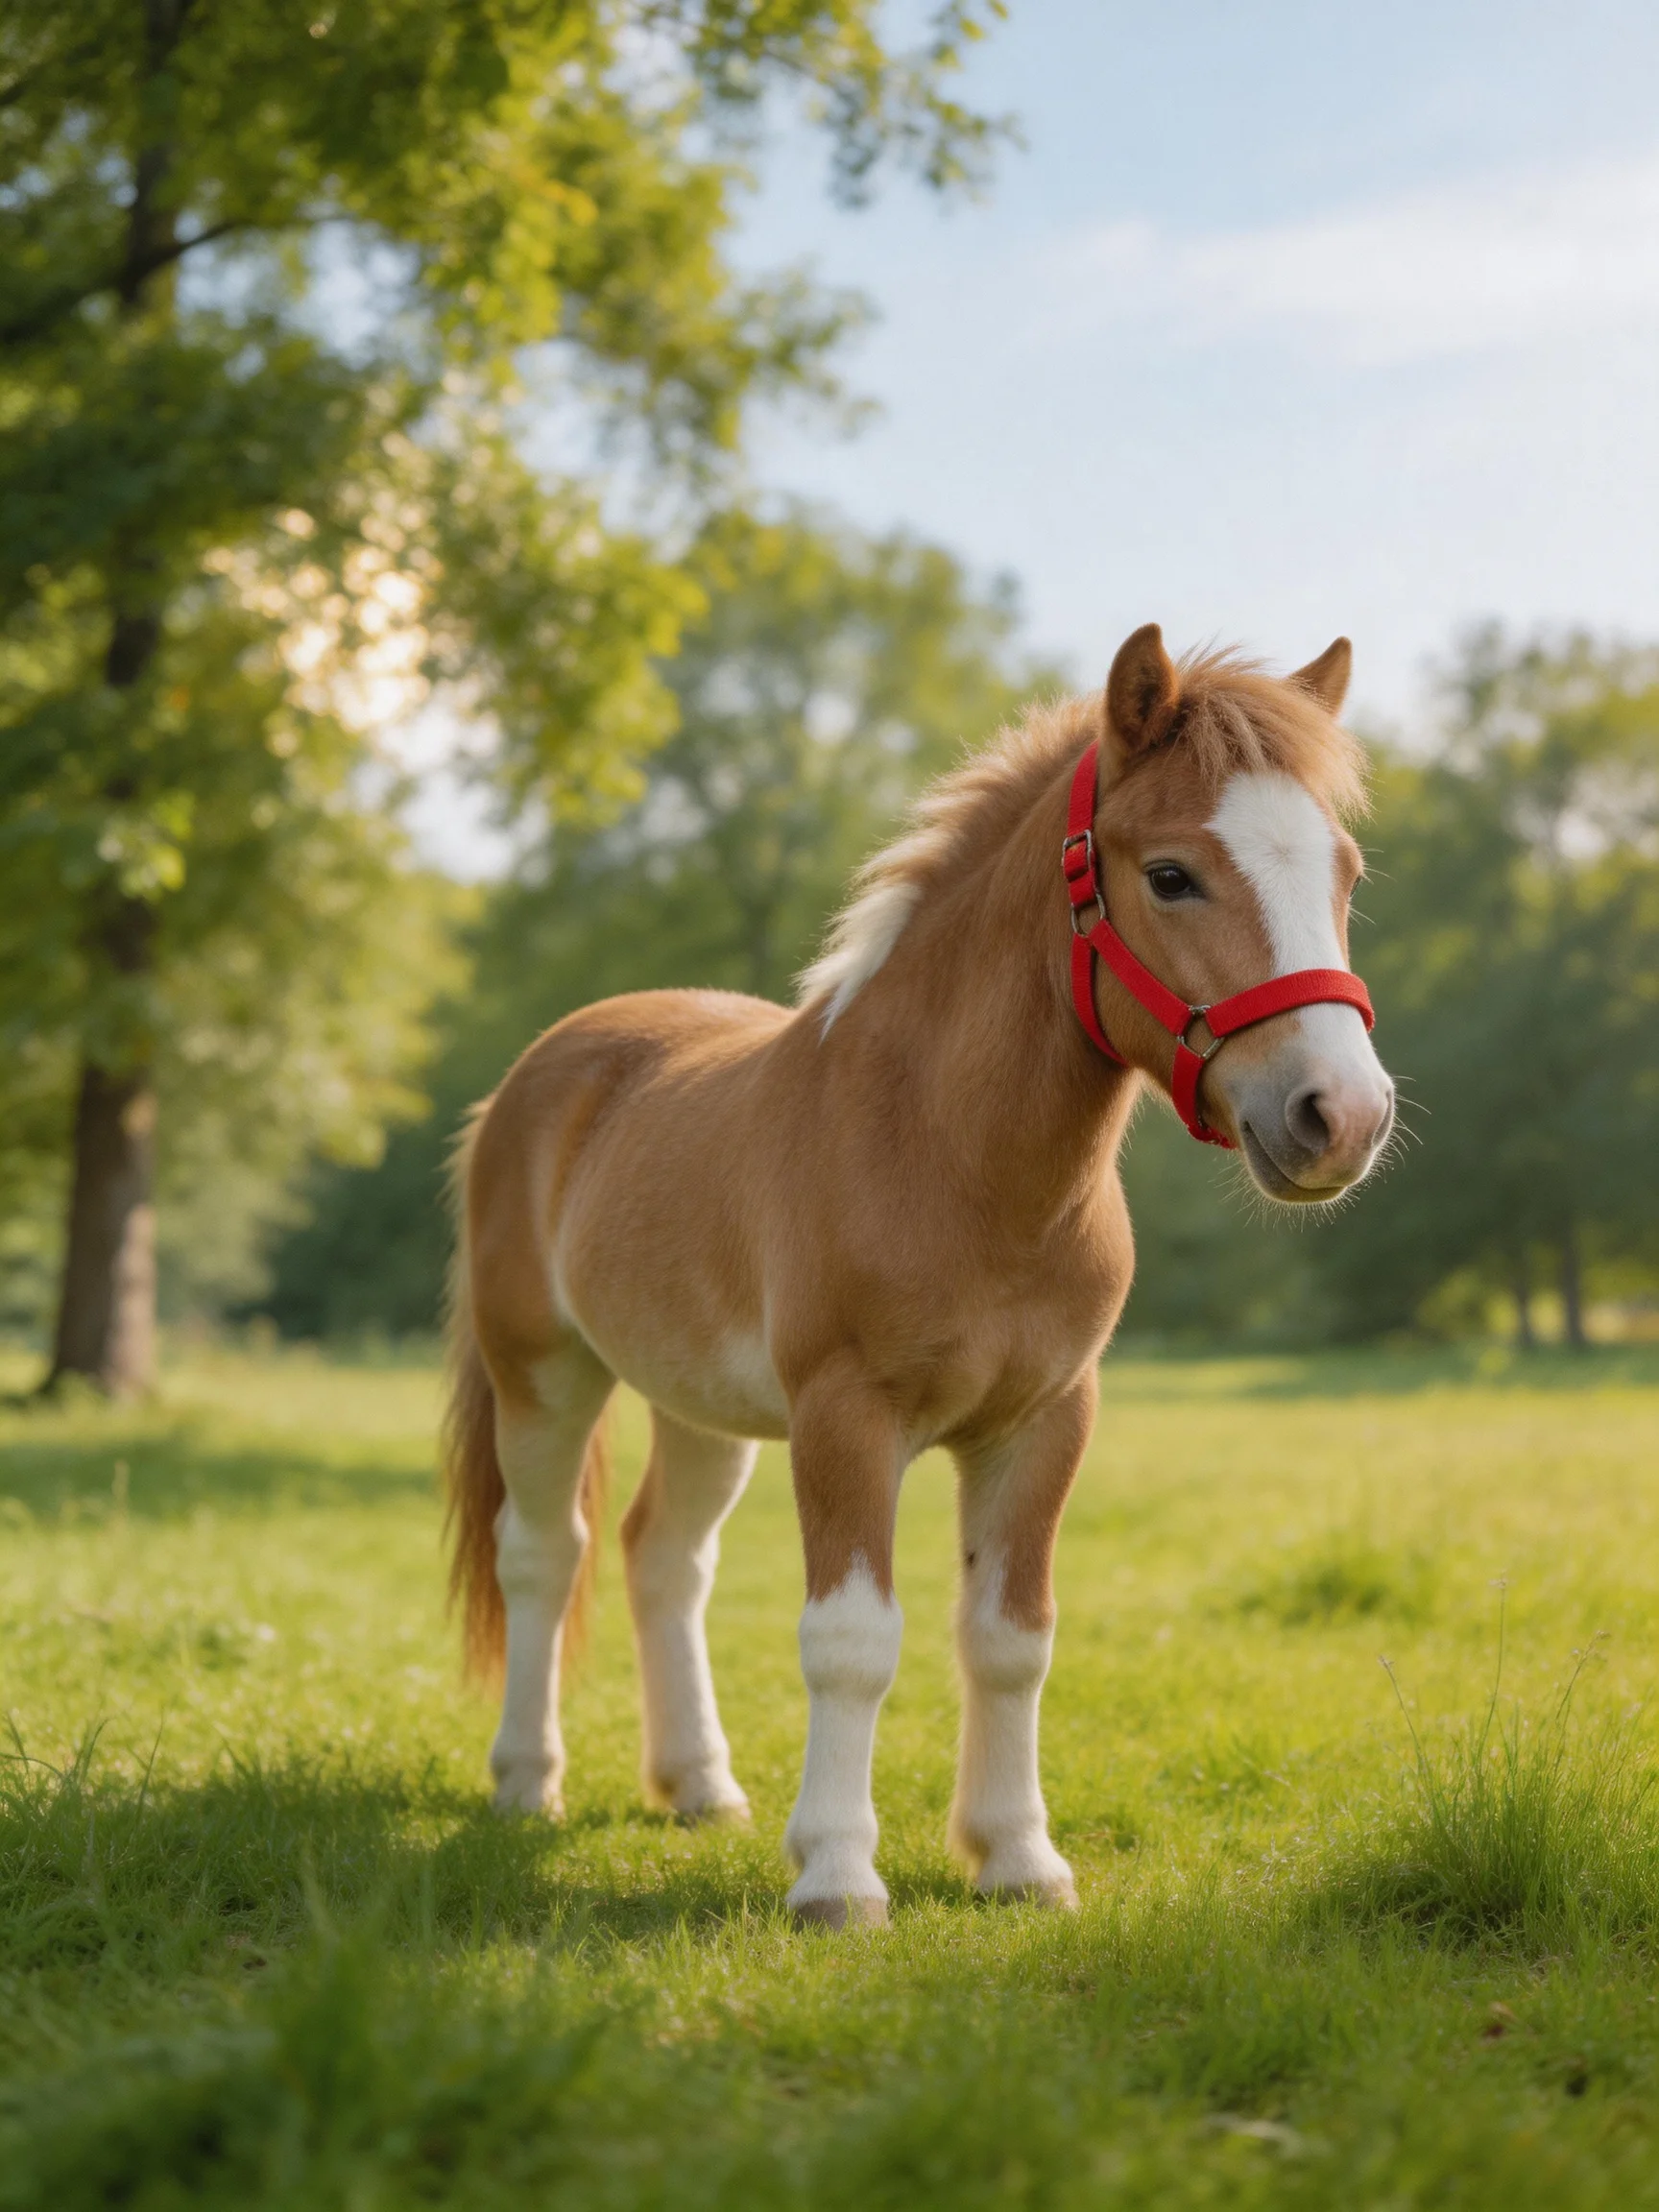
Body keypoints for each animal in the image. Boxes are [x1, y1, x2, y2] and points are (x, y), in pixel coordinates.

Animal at [442, 622, 1395, 1926]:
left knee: (664, 1557)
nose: (1340, 1117)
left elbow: (1010, 1636)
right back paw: (525, 1782)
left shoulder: (1044, 1422)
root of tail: (540, 1072)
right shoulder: (849, 1415)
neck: (953, 1159)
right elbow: (852, 1642)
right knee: (545, 1554)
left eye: (1342, 872)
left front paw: (1018, 1858)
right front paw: (838, 1877)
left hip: (704, 1408)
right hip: (544, 1374)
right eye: (1170, 876)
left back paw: (698, 1787)